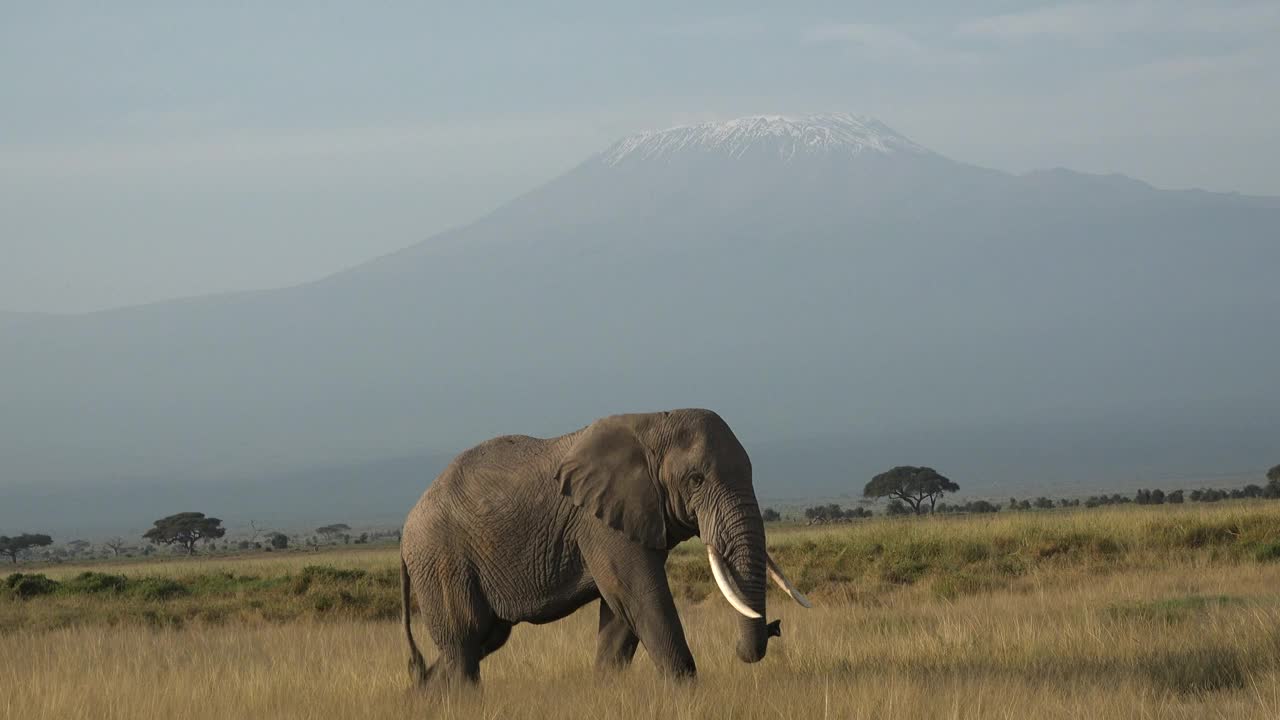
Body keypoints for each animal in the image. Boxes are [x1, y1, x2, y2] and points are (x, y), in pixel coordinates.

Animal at [396, 404, 808, 681]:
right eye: (696, 480)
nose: (775, 626)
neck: (653, 422)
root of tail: (405, 529)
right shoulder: (599, 523)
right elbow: (642, 597)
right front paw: (685, 691)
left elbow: (620, 614)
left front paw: (606, 688)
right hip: (442, 560)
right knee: (464, 642)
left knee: (482, 640)